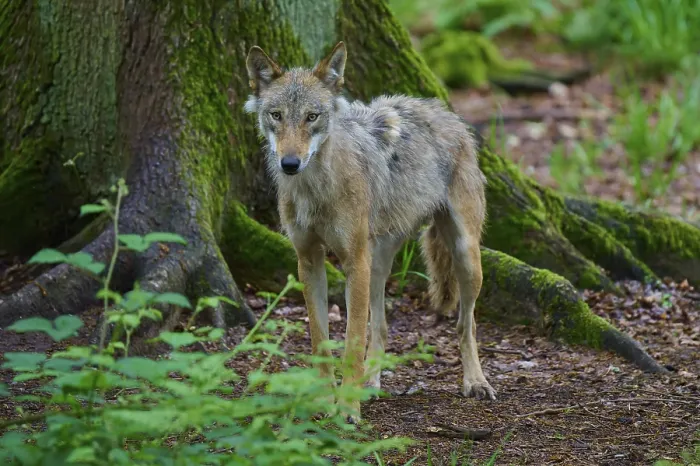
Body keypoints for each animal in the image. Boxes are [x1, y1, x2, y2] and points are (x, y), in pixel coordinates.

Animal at [244, 41, 496, 421]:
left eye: (312, 117)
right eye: (276, 115)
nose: (290, 164)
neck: (316, 189)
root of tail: (444, 111)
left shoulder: (353, 262)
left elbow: (351, 342)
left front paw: (347, 409)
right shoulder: (309, 260)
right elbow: (321, 338)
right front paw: (323, 401)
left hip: (464, 257)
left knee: (466, 325)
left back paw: (476, 382)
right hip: (377, 262)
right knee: (381, 327)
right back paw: (371, 385)